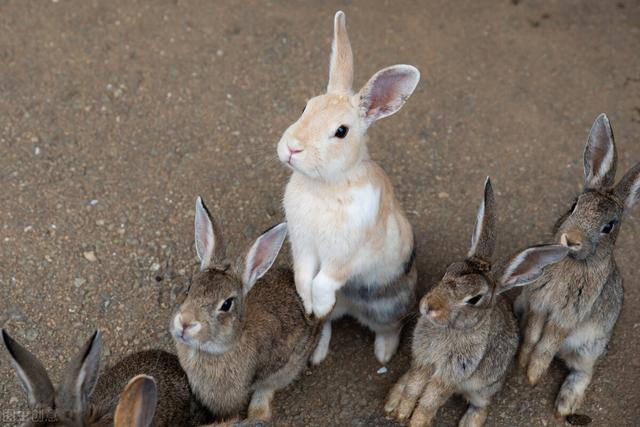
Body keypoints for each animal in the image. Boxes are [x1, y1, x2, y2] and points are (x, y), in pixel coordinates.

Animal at [276, 9, 420, 364]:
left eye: (341, 131)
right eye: (305, 107)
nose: (292, 149)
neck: (325, 184)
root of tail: (355, 309)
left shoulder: (347, 257)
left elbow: (325, 280)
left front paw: (318, 301)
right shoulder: (303, 245)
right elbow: (304, 277)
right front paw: (309, 305)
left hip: (388, 306)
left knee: (389, 327)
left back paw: (384, 354)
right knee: (329, 322)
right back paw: (317, 349)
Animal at [382, 178, 568, 427]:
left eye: (474, 299)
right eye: (448, 270)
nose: (428, 306)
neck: (452, 330)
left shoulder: (452, 372)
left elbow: (431, 400)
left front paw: (416, 422)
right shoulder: (423, 362)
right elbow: (414, 387)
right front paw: (402, 413)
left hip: (482, 387)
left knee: (482, 405)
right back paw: (393, 401)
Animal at [516, 113, 640, 418]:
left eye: (609, 227)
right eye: (574, 205)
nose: (570, 240)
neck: (572, 262)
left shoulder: (567, 316)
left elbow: (546, 345)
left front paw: (533, 375)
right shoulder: (538, 304)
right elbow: (532, 336)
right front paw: (522, 365)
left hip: (589, 346)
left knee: (583, 371)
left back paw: (565, 405)